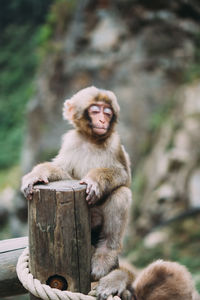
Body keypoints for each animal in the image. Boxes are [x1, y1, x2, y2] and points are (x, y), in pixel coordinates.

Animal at [21, 84, 133, 290]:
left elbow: (123, 175)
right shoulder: (72, 142)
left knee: (121, 193)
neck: (91, 140)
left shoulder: (115, 144)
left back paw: (106, 251)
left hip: (97, 220)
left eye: (107, 112)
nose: (102, 120)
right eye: (95, 110)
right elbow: (63, 171)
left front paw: (94, 181)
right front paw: (36, 175)